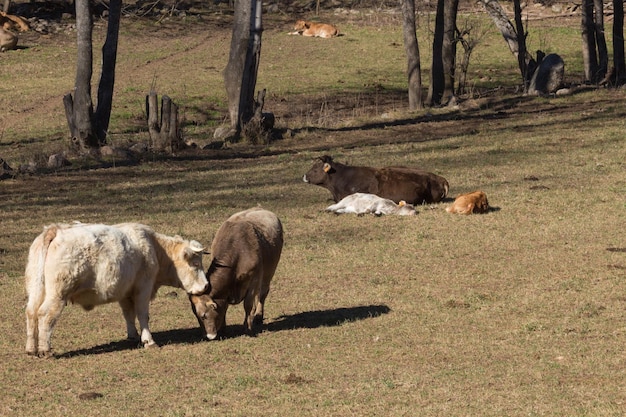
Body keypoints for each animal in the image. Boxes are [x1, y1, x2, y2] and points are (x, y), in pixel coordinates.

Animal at [23, 223, 208, 356]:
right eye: (195, 264)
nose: (206, 286)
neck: (156, 249)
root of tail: (56, 230)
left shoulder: (125, 292)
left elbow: (128, 314)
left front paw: (133, 336)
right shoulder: (143, 288)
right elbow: (142, 314)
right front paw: (148, 341)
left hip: (36, 290)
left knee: (31, 312)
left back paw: (31, 349)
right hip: (57, 295)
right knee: (45, 314)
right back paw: (45, 350)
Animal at [186, 206, 282, 340]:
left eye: (204, 315)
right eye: (195, 315)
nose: (207, 336)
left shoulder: (254, 279)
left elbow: (248, 305)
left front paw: (247, 328)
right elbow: (224, 306)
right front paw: (223, 330)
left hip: (269, 272)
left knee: (263, 293)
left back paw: (258, 316)